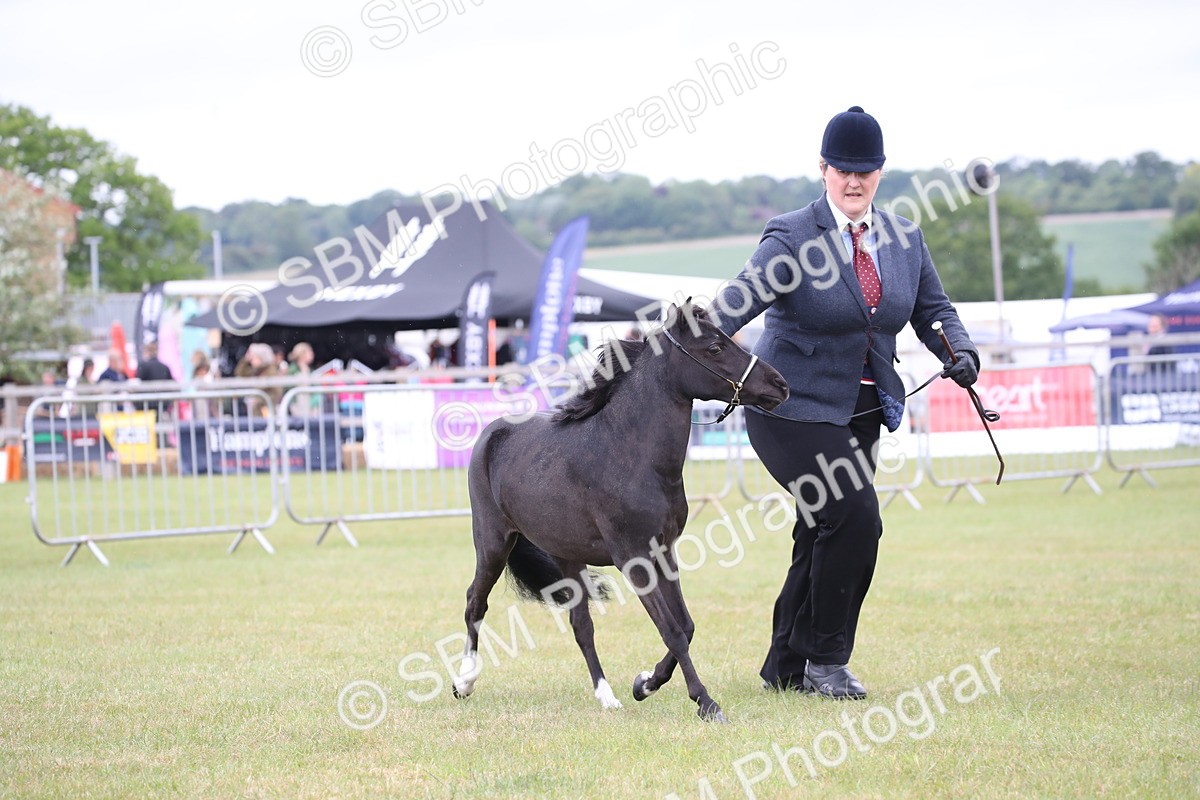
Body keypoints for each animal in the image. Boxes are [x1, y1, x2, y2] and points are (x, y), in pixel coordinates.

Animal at [451, 303, 789, 722]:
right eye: (714, 347)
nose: (779, 385)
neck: (631, 456)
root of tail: (491, 433)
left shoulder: (664, 553)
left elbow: (686, 626)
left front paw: (644, 684)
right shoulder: (634, 559)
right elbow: (672, 631)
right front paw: (706, 702)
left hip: (567, 555)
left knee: (581, 624)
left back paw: (606, 695)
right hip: (494, 542)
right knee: (475, 602)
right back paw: (464, 682)